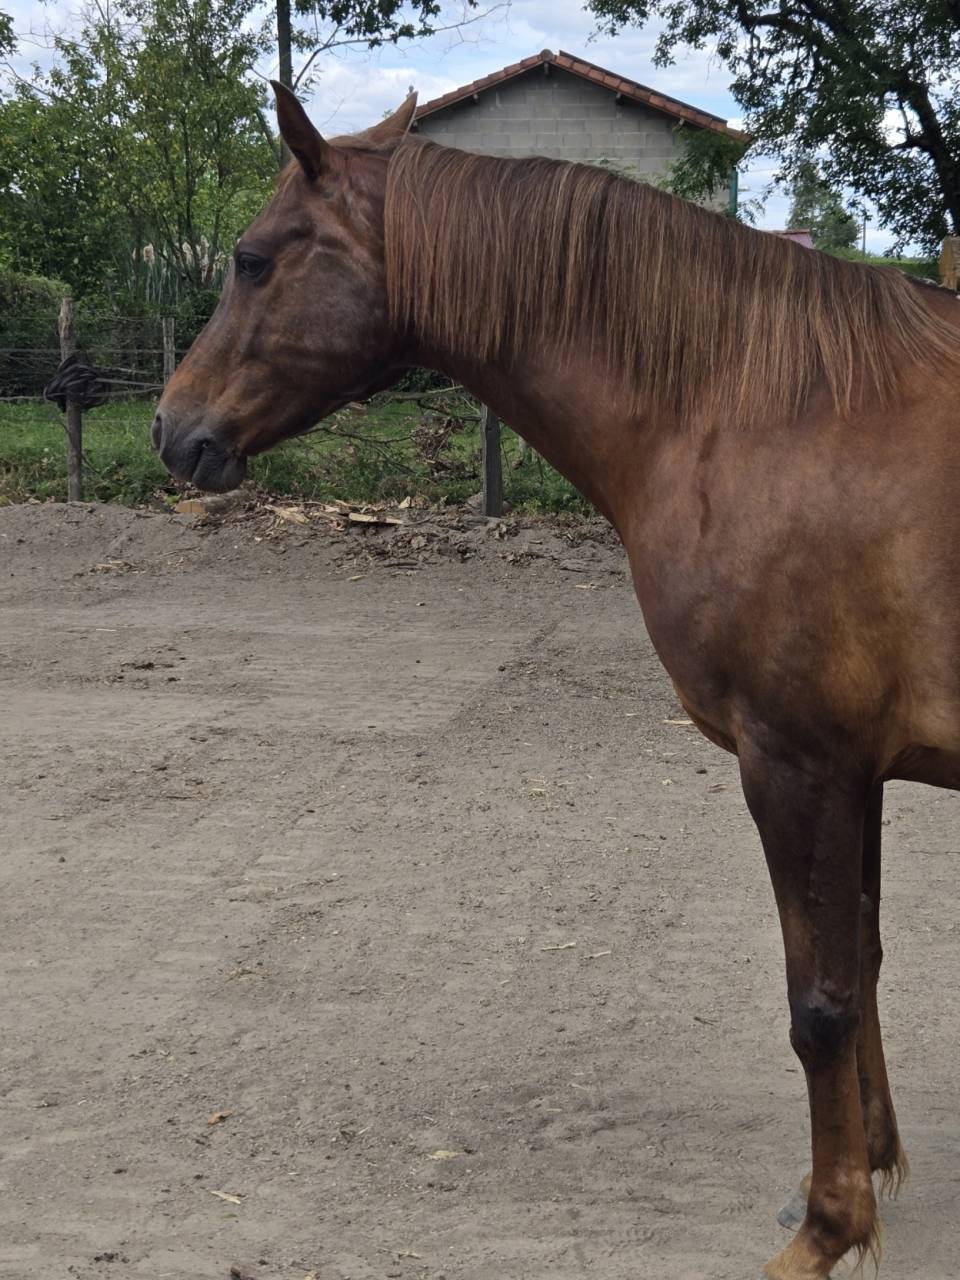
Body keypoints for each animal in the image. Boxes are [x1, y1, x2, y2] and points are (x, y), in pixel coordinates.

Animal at [153, 82, 960, 1279]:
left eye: (253, 259)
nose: (172, 429)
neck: (771, 410)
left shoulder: (798, 762)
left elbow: (818, 1002)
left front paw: (825, 1230)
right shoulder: (854, 769)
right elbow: (857, 962)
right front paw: (871, 1172)